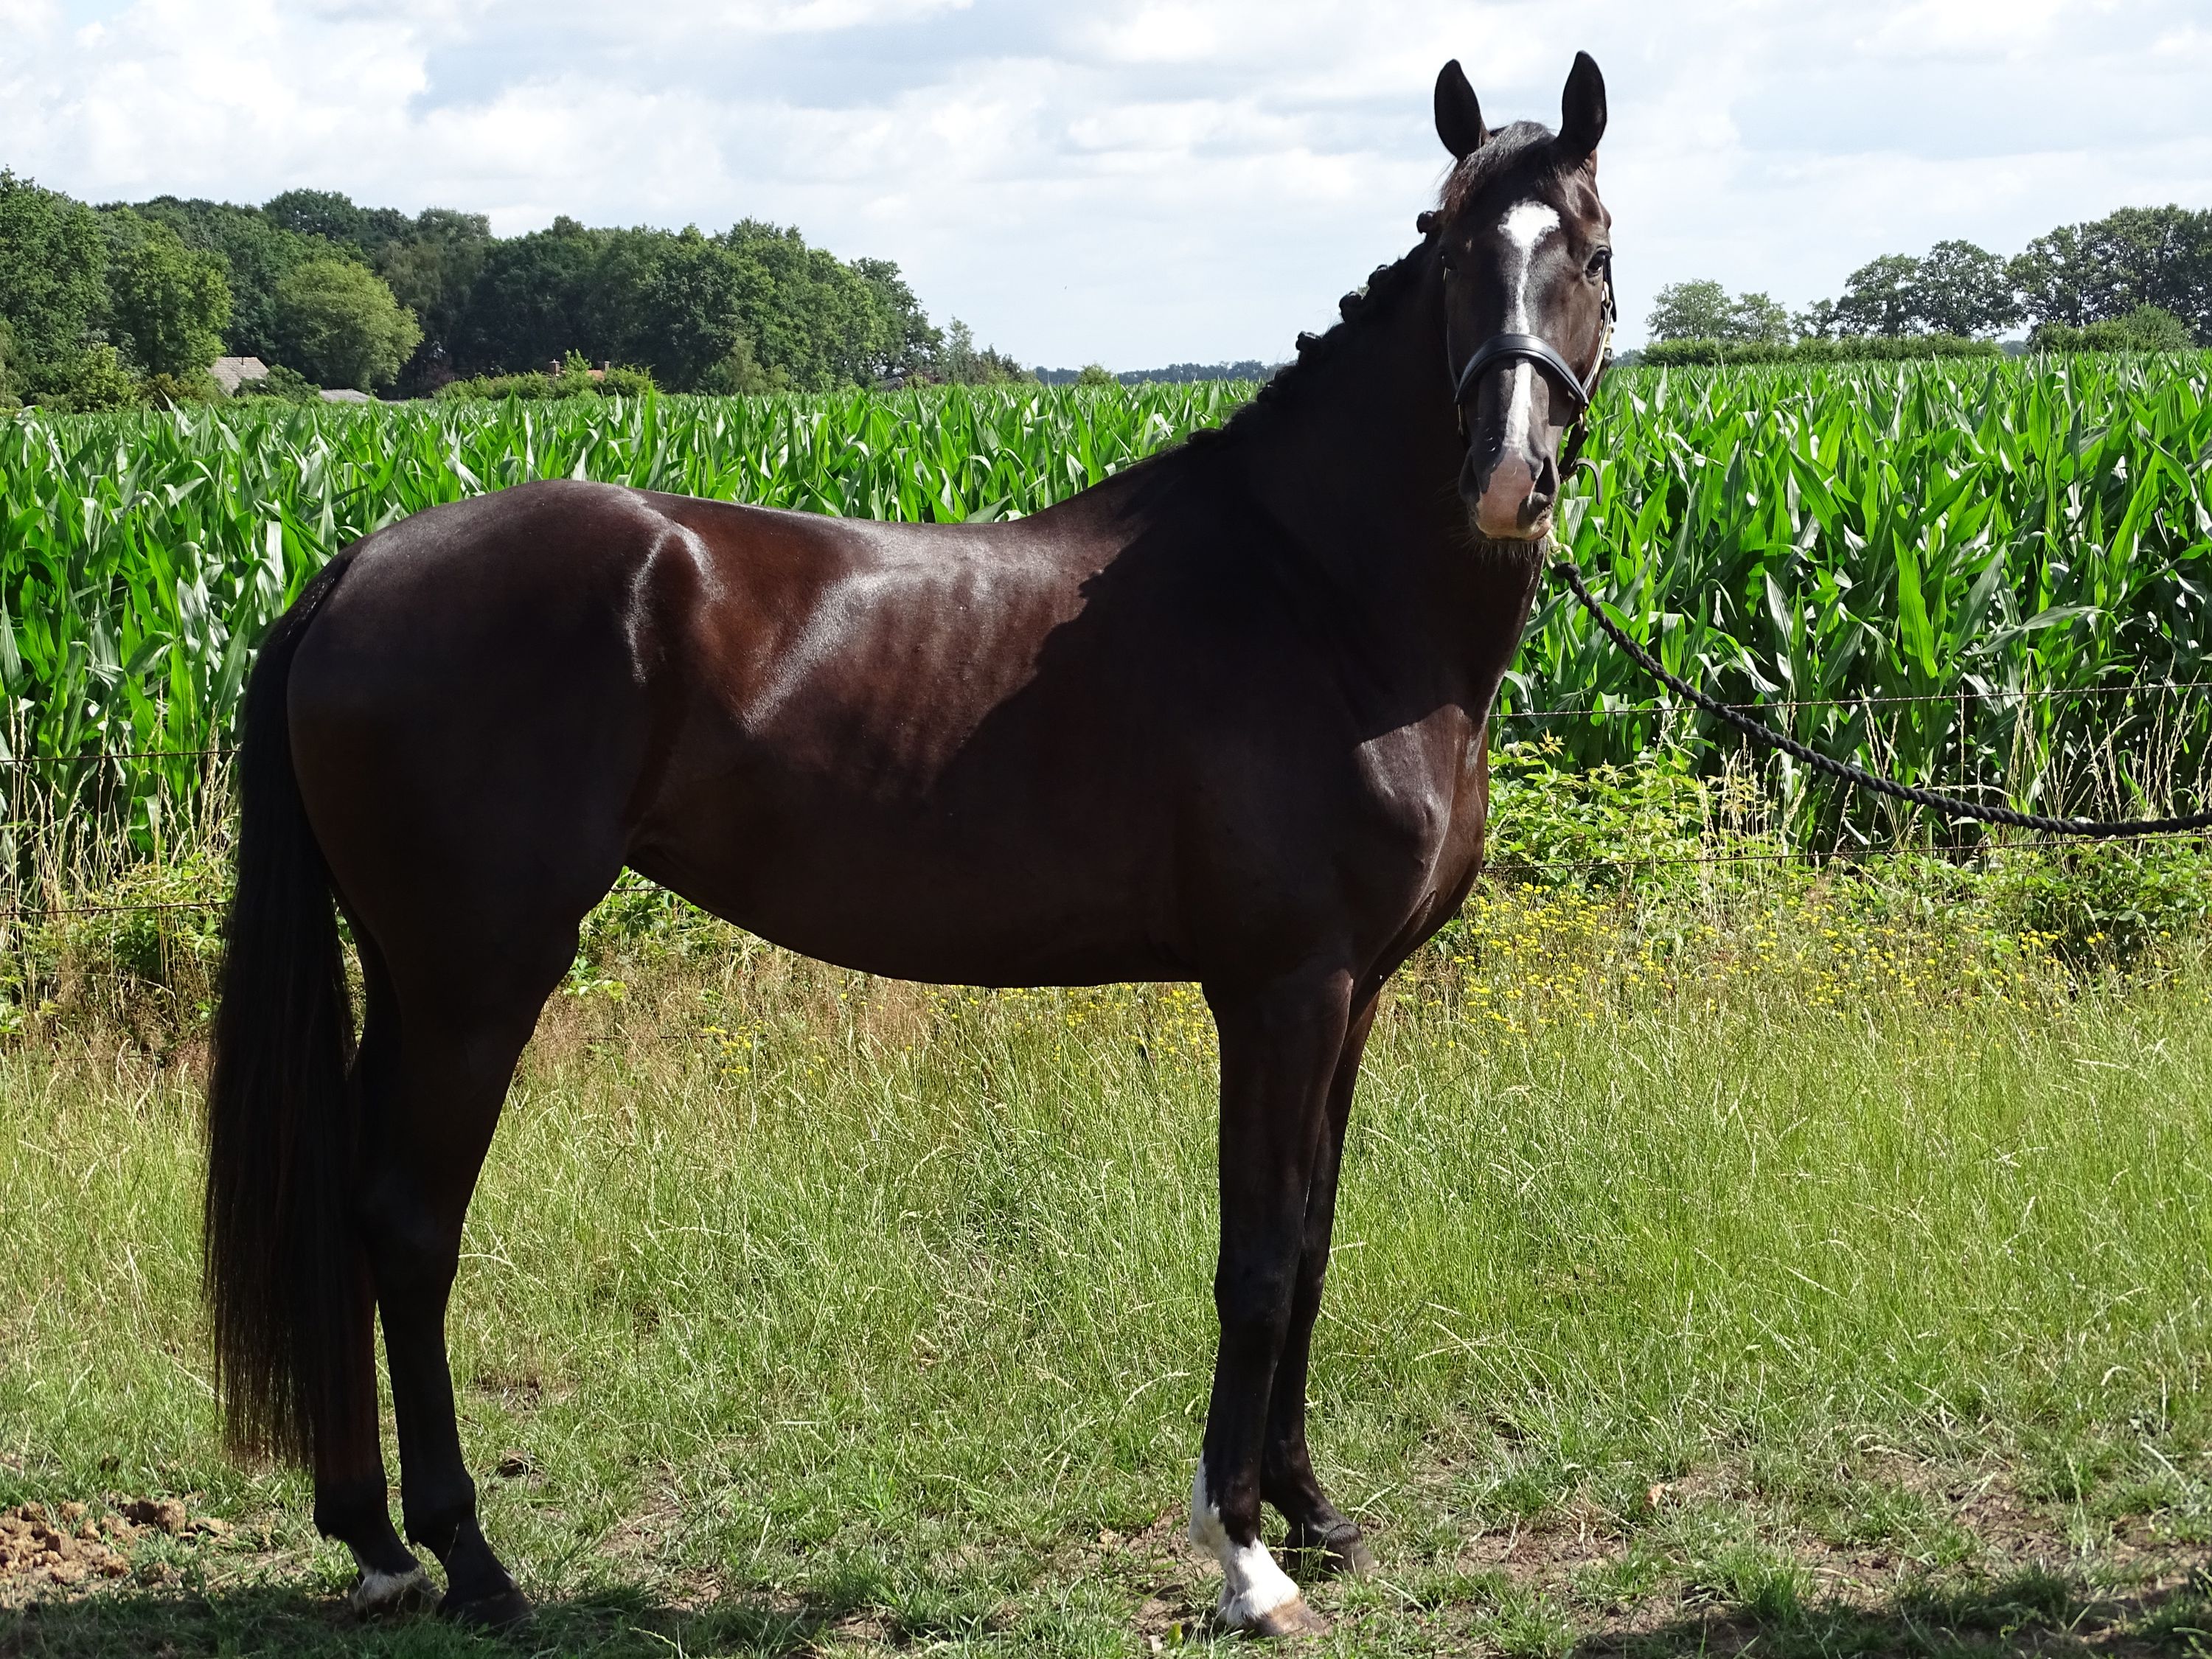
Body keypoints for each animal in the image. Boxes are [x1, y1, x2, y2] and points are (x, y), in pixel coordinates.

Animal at [203, 51, 1613, 1639]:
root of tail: (355, 565)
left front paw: (1317, 1516)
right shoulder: (1282, 989)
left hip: (408, 969)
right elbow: (1255, 1262)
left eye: (1592, 253)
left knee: (353, 1213)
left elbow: (1310, 1247)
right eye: (1451, 252)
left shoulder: (1355, 995)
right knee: (407, 1222)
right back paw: (471, 1558)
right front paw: (1247, 1557)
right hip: (477, 977)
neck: (1318, 600)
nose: (1506, 476)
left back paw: (377, 1540)